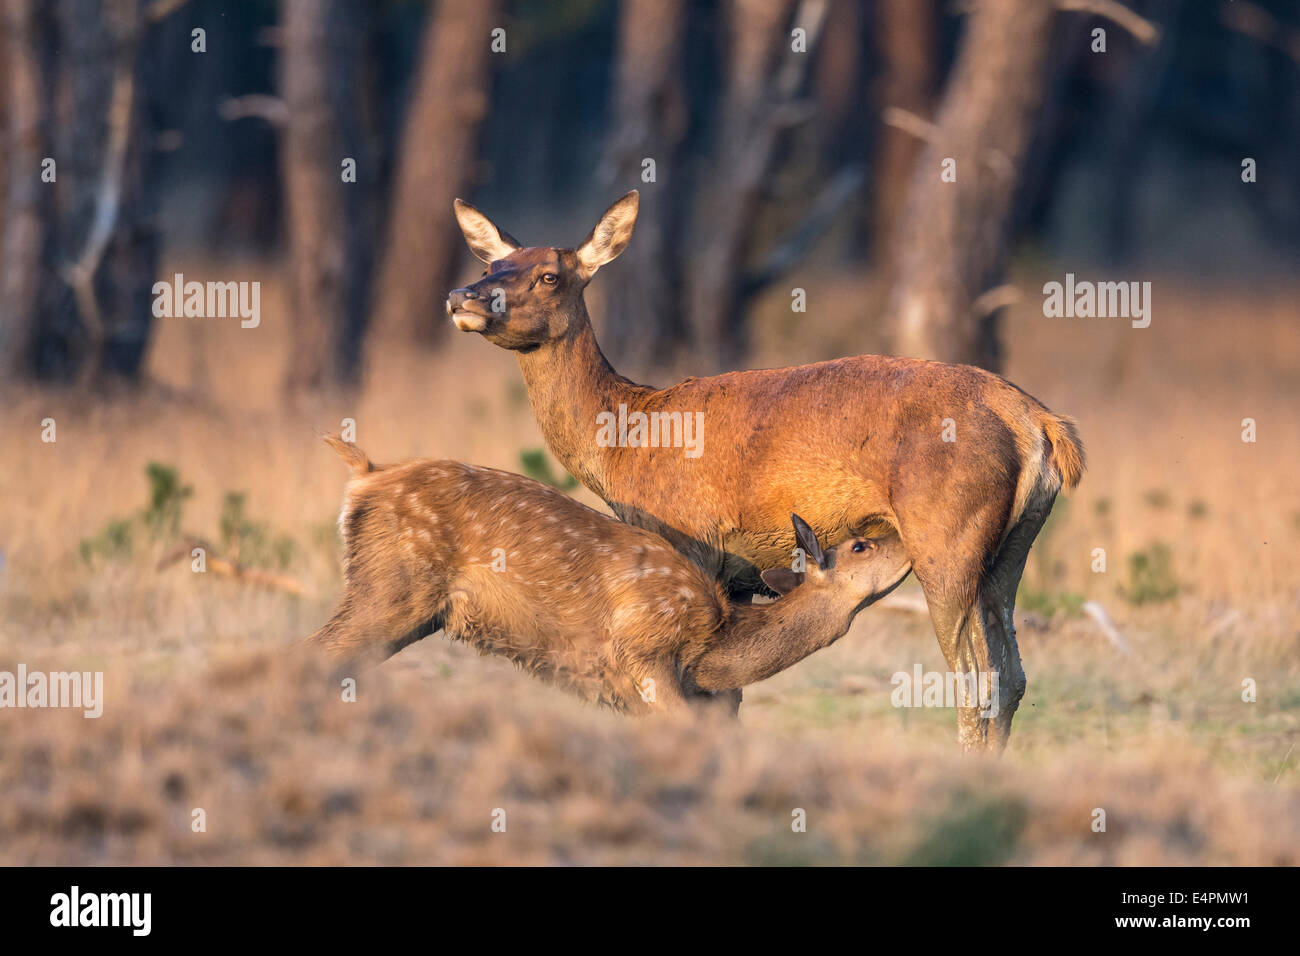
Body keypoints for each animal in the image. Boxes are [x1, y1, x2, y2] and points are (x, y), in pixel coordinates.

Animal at [447, 191, 1086, 749]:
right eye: (492, 263)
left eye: (549, 275)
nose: (462, 296)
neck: (625, 445)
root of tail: (1040, 424)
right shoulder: (739, 572)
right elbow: (726, 696)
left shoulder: (691, 539)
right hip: (1012, 549)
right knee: (1013, 675)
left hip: (946, 537)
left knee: (975, 677)